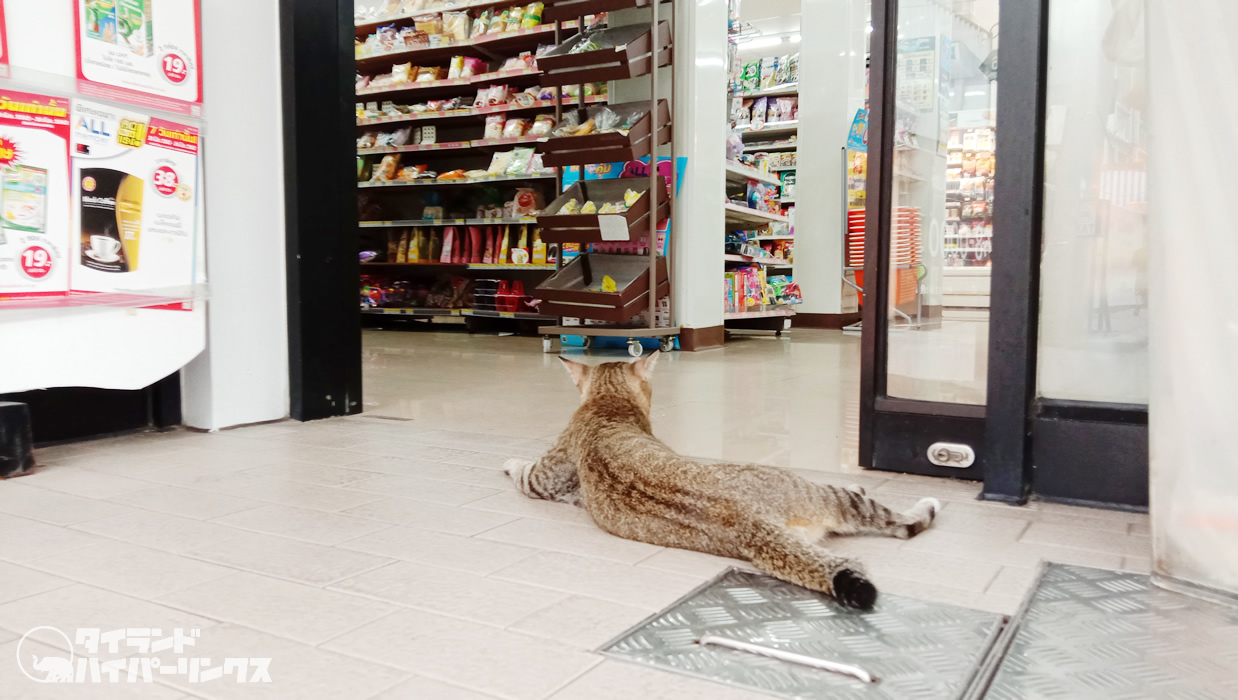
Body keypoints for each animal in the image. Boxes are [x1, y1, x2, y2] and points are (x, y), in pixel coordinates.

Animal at [502, 351, 935, 609]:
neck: (609, 404)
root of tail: (750, 522)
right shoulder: (544, 476)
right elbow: (522, 470)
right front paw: (508, 460)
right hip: (822, 494)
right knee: (900, 521)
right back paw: (919, 502)